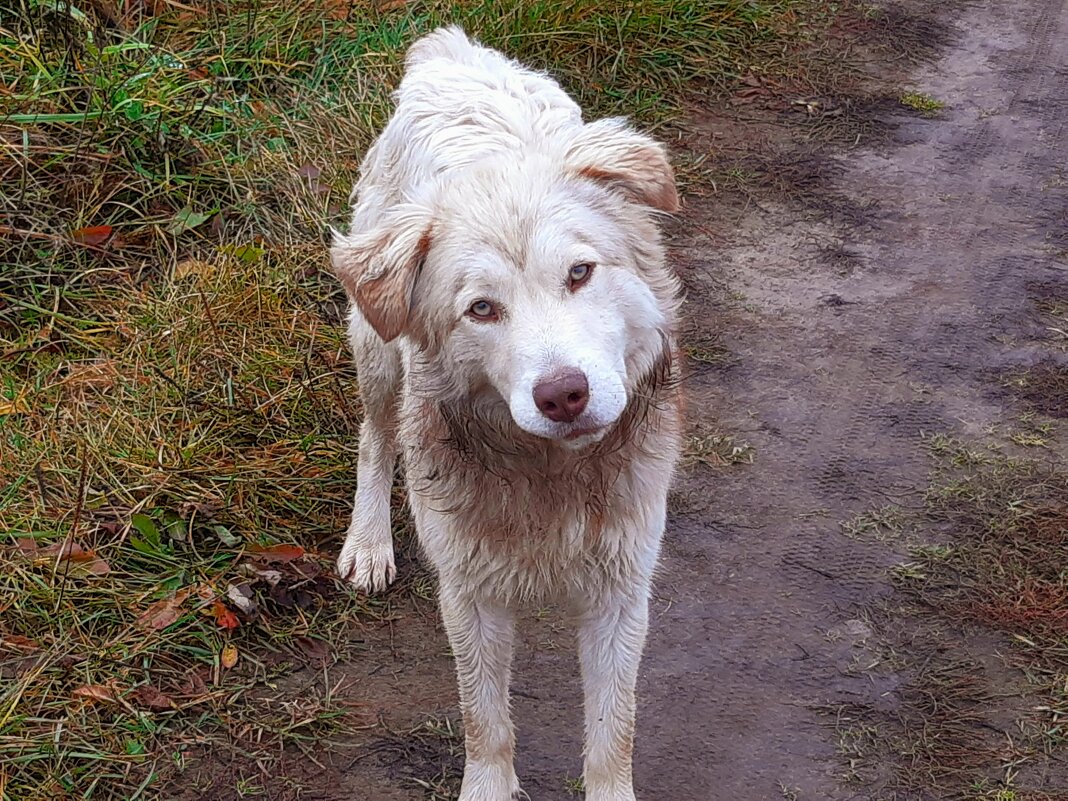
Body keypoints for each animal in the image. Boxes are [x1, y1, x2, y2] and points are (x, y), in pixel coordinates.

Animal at [331, 26, 683, 801]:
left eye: (580, 273)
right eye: (482, 309)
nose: (563, 394)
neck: (549, 472)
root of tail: (451, 51)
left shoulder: (622, 590)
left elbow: (613, 730)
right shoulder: (469, 594)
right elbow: (484, 719)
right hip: (376, 347)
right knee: (374, 437)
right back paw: (368, 543)